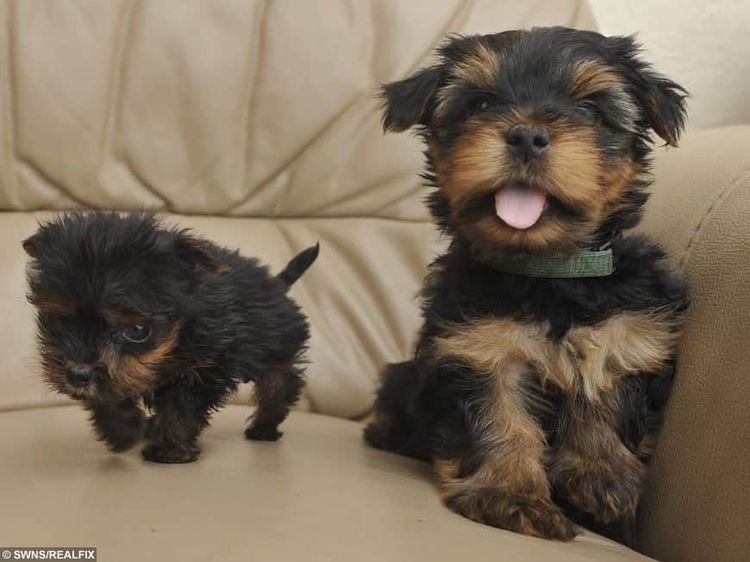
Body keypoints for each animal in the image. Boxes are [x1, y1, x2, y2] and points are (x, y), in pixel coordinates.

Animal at [23, 212, 318, 464]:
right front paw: (123, 431)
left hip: (276, 347)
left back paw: (264, 428)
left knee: (279, 384)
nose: (78, 374)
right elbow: (111, 393)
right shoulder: (114, 375)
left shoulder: (206, 366)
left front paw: (170, 449)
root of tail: (277, 285)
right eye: (62, 321)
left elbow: (182, 407)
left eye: (138, 330)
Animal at [364, 27, 688, 541]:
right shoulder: (480, 347)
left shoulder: (627, 332)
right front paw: (509, 494)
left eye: (591, 108)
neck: (548, 270)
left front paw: (601, 473)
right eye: (479, 104)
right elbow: (502, 414)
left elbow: (605, 389)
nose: (527, 135)